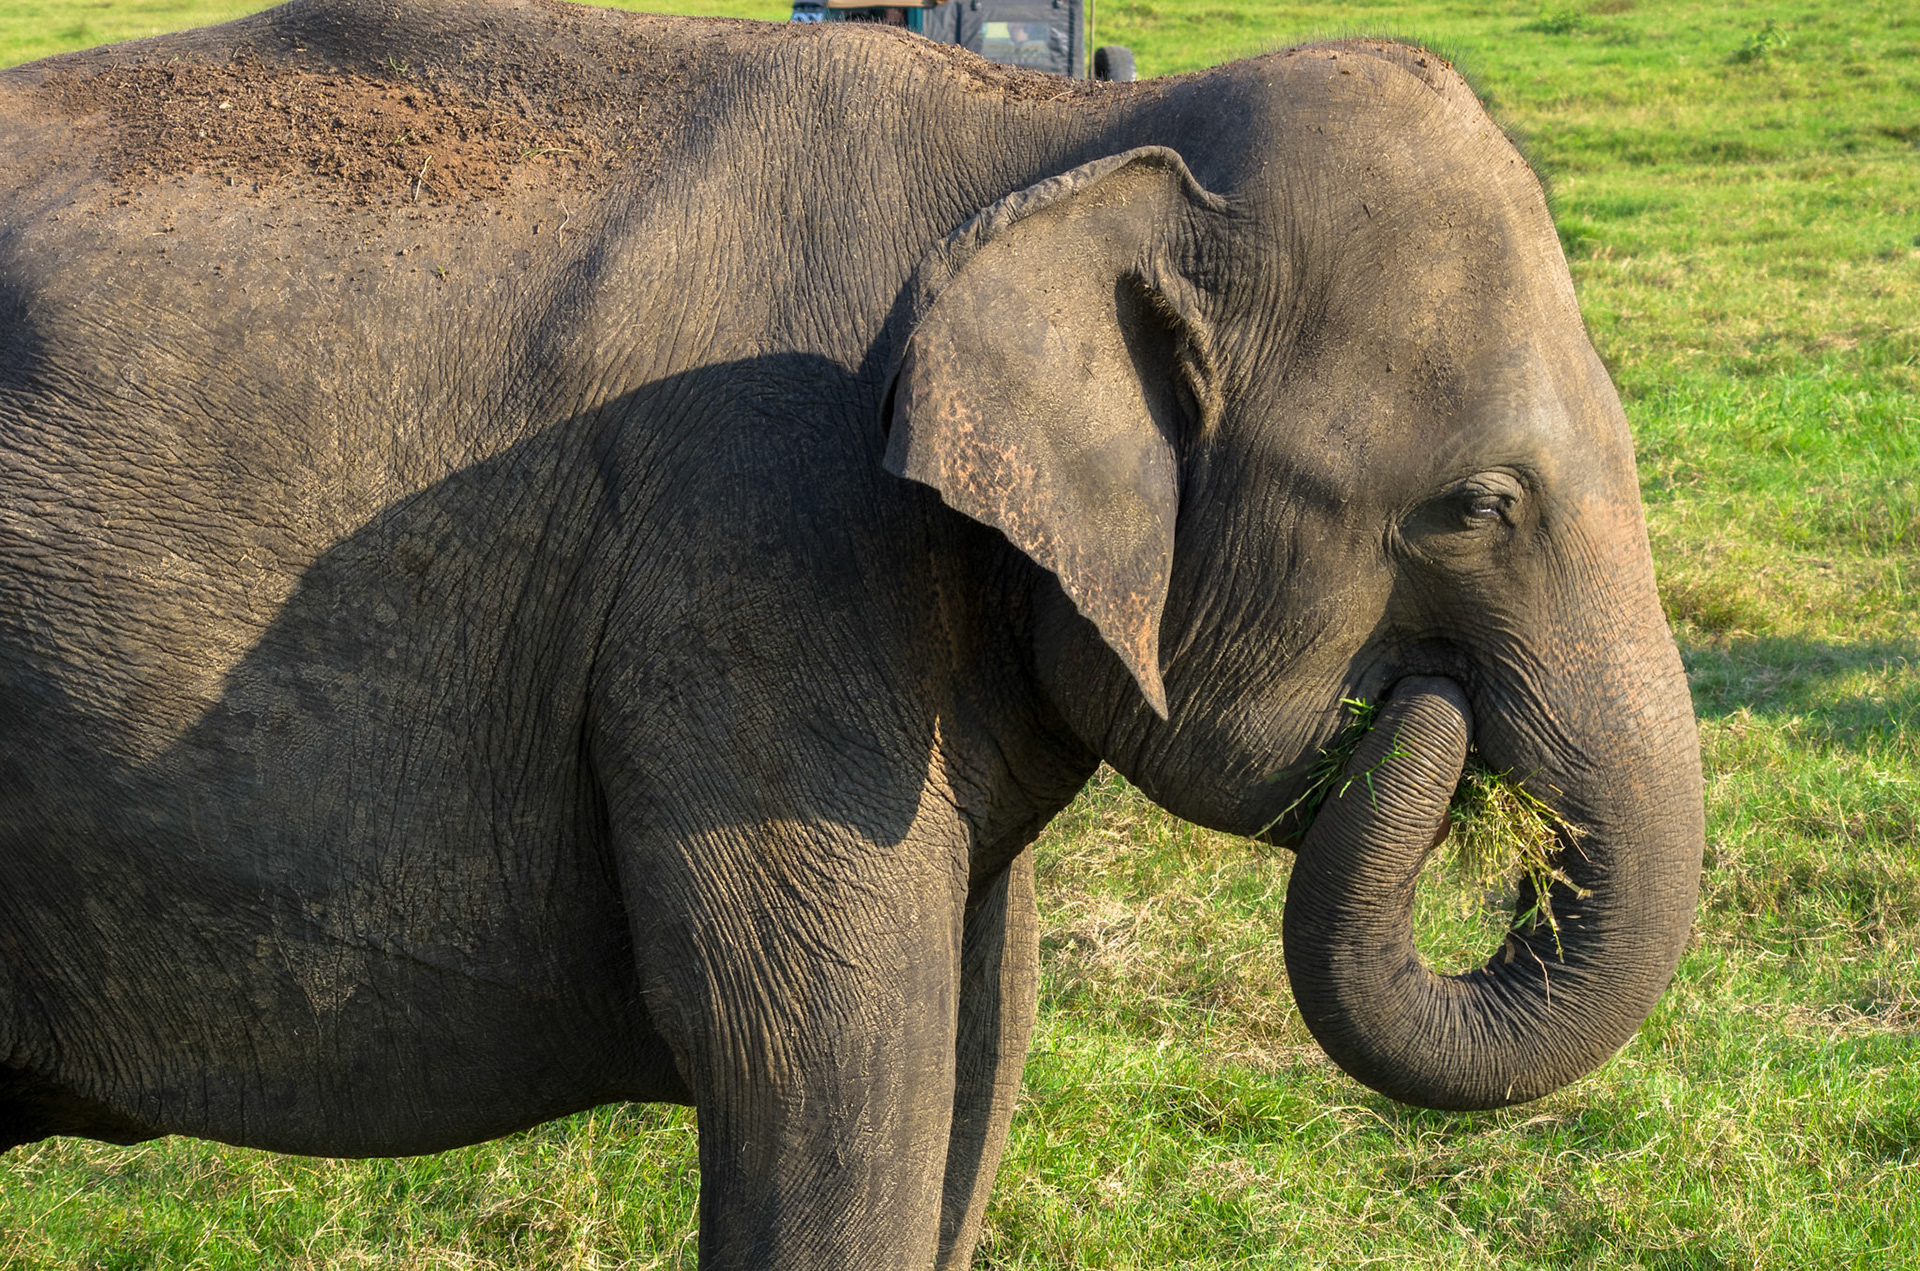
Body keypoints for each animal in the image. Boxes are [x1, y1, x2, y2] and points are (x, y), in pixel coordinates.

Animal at [0, 0, 1704, 1265]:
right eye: (1476, 506)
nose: (1430, 722)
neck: (1047, 141)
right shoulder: (761, 560)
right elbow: (821, 1051)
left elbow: (982, 1020)